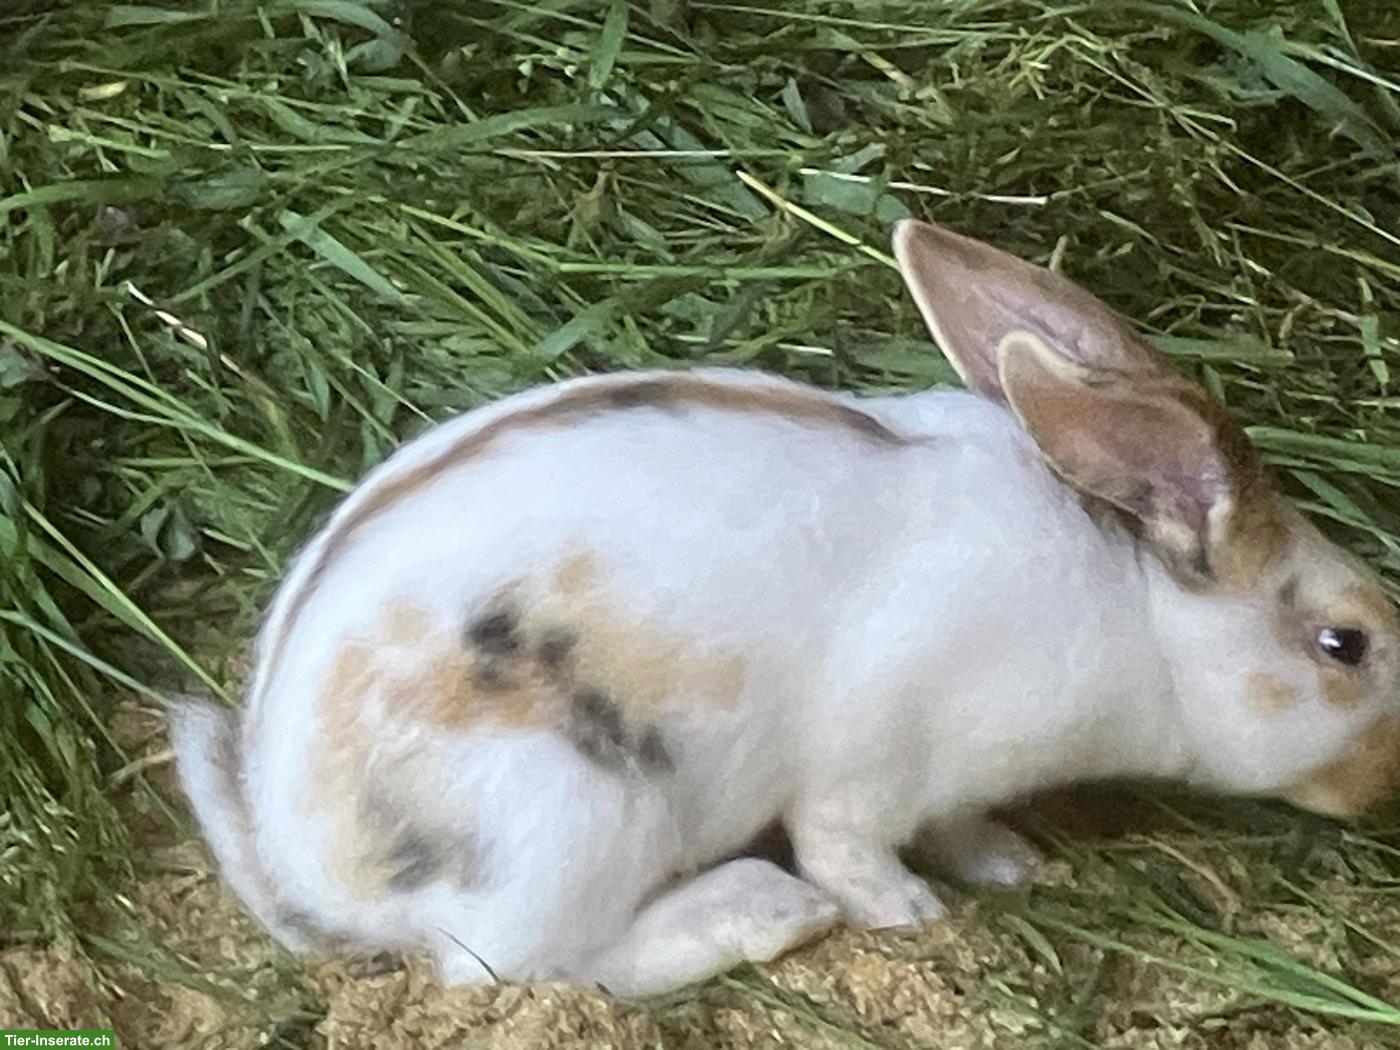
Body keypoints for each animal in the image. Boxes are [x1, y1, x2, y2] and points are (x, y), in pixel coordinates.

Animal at [169, 219, 1400, 998]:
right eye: (1346, 643)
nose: (1381, 788)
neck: (1140, 617)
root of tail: (305, 867)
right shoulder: (869, 767)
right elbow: (851, 850)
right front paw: (915, 915)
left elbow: (964, 828)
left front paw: (1012, 865)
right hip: (568, 817)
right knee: (537, 970)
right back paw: (766, 912)